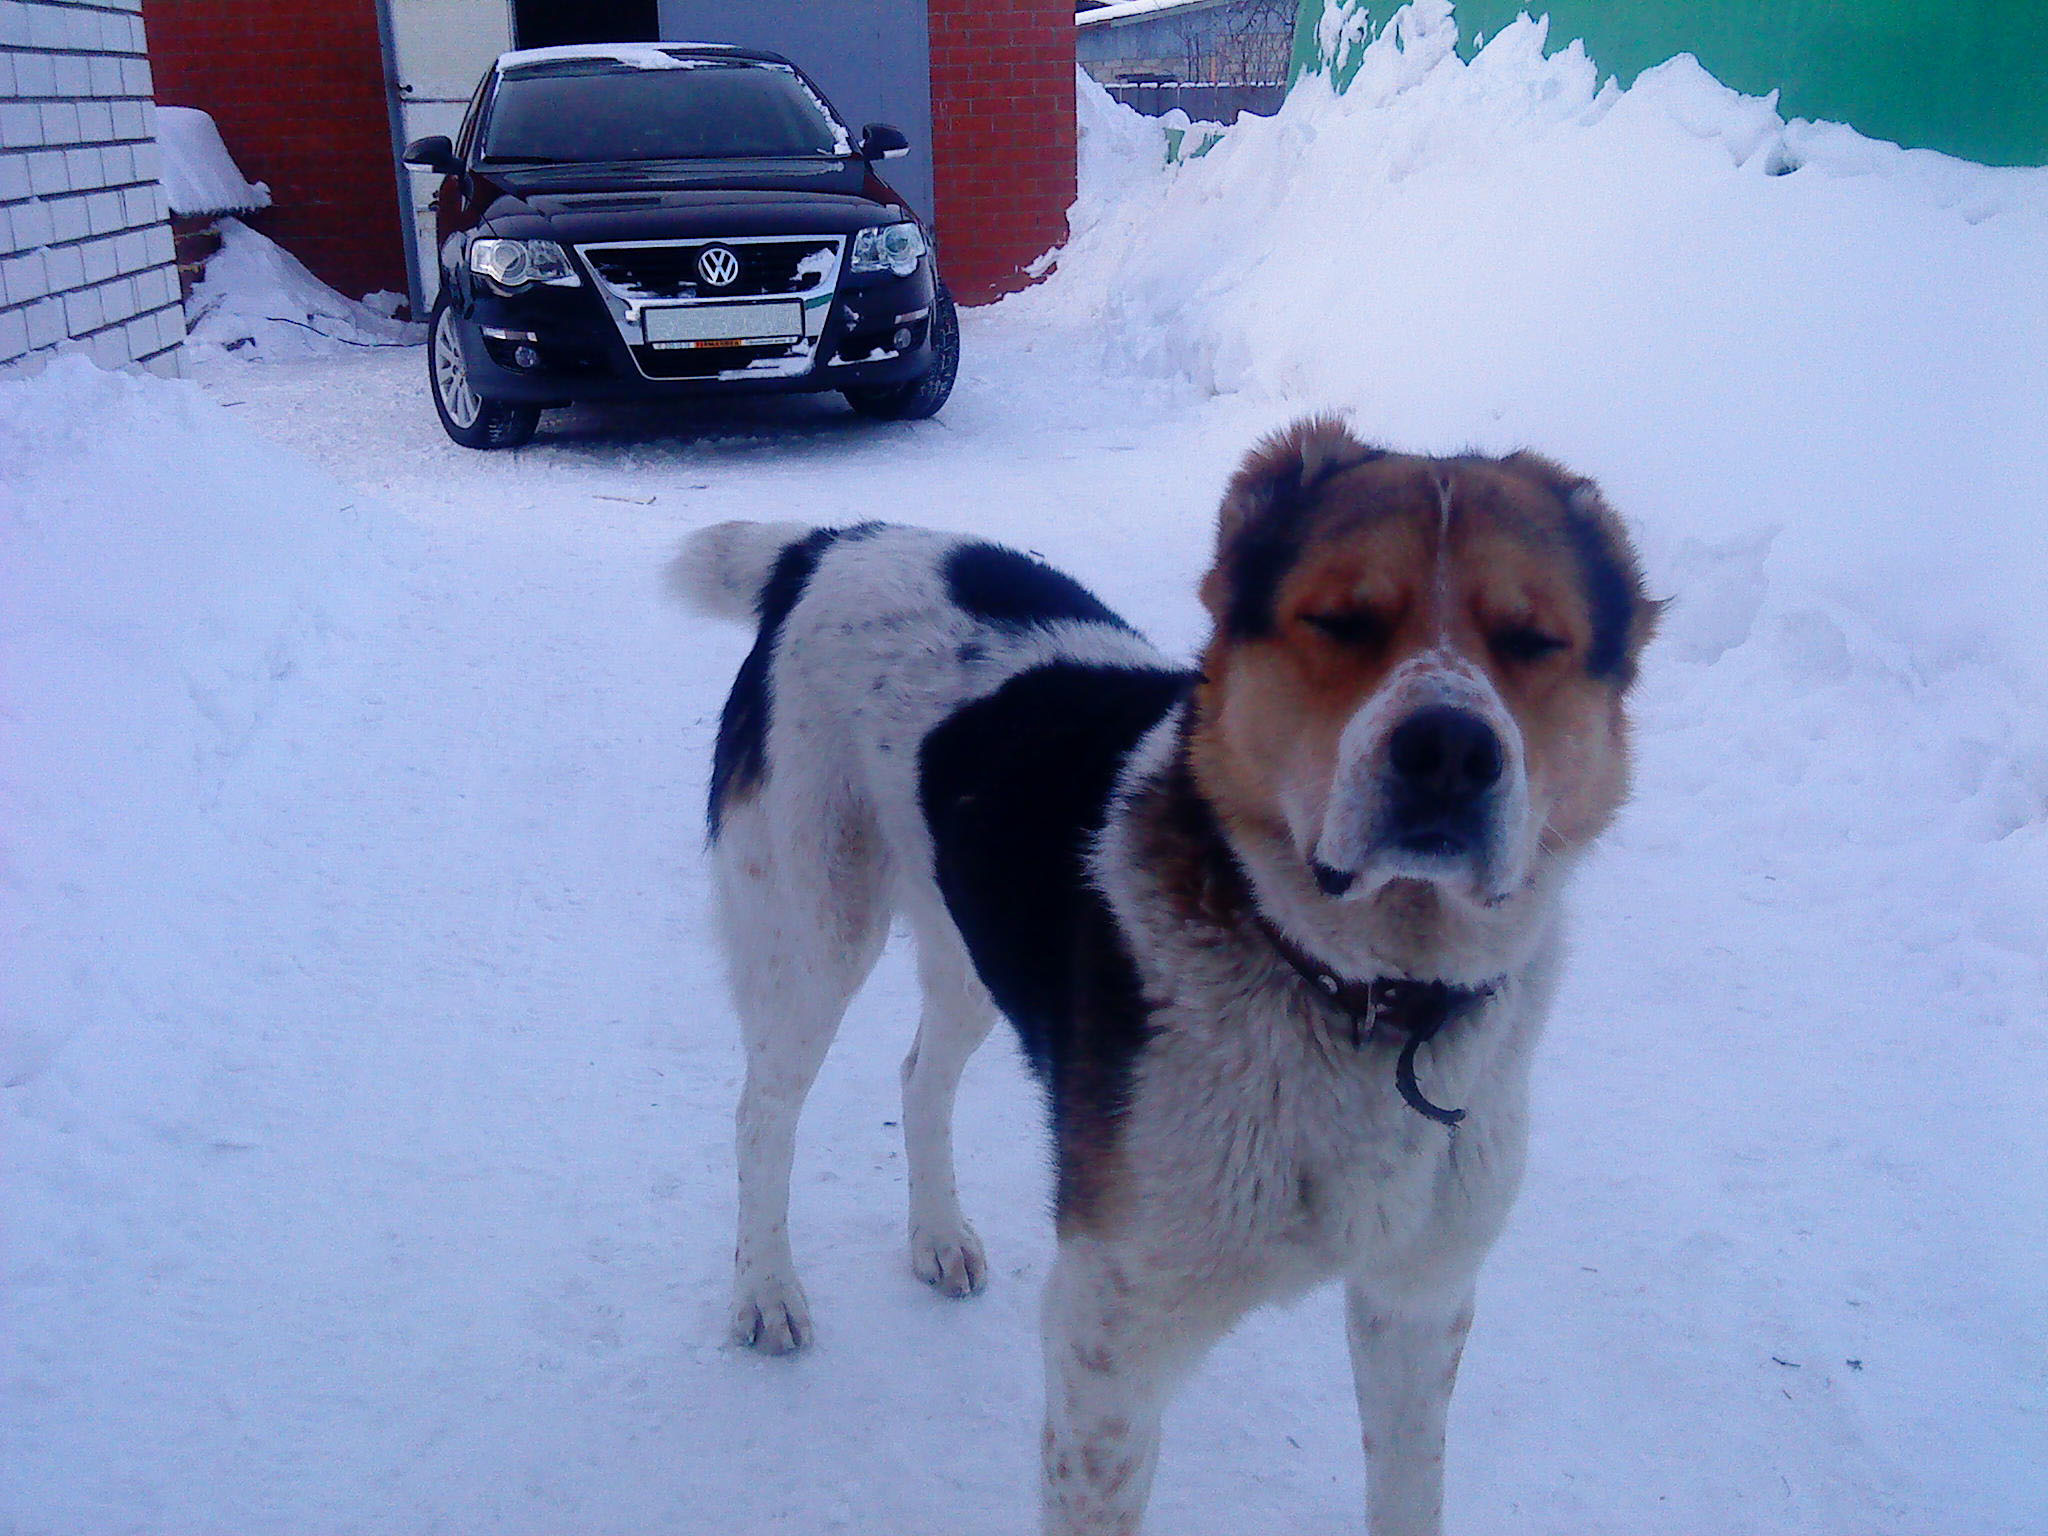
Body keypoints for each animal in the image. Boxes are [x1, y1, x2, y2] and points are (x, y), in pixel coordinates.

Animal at [674, 416, 1657, 1535]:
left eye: (1535, 641)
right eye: (1339, 621)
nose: (1448, 749)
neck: (1361, 997)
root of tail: (830, 542)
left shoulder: (1418, 1305)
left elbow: (1407, 1494)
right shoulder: (1109, 1340)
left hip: (972, 940)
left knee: (920, 1074)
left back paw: (938, 1237)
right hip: (812, 930)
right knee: (763, 1111)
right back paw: (765, 1293)